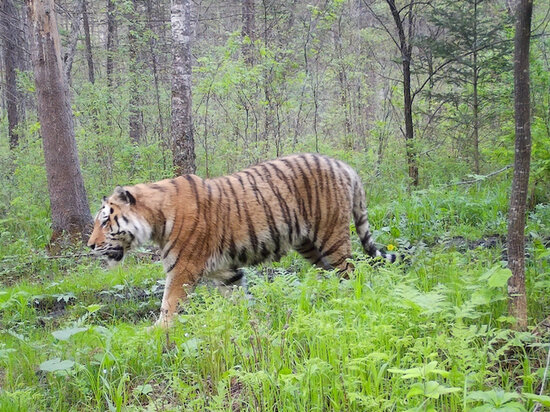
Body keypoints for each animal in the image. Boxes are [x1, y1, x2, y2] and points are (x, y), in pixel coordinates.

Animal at [87, 153, 396, 326]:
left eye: (104, 220)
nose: (90, 246)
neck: (156, 218)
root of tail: (344, 166)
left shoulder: (183, 269)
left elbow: (168, 304)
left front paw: (155, 333)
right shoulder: (226, 272)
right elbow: (240, 299)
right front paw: (252, 323)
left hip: (332, 237)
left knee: (352, 272)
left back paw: (347, 301)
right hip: (309, 245)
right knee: (330, 274)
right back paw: (324, 300)